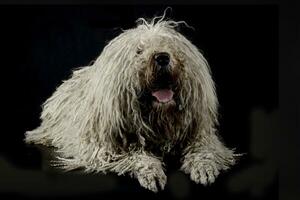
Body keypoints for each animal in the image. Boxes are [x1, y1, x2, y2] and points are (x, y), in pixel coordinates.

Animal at [24, 14, 238, 192]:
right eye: (139, 51)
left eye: (170, 46)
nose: (162, 57)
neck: (157, 119)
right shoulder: (106, 149)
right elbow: (136, 156)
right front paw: (152, 173)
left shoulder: (199, 134)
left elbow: (204, 150)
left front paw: (204, 167)